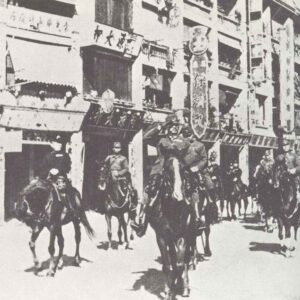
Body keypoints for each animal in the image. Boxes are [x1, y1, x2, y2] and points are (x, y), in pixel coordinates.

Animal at [147, 158, 195, 298]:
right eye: (167, 170)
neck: (173, 209)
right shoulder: (162, 237)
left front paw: (182, 286)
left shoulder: (182, 235)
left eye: (183, 170)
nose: (178, 196)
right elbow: (168, 265)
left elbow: (180, 263)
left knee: (183, 260)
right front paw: (168, 291)